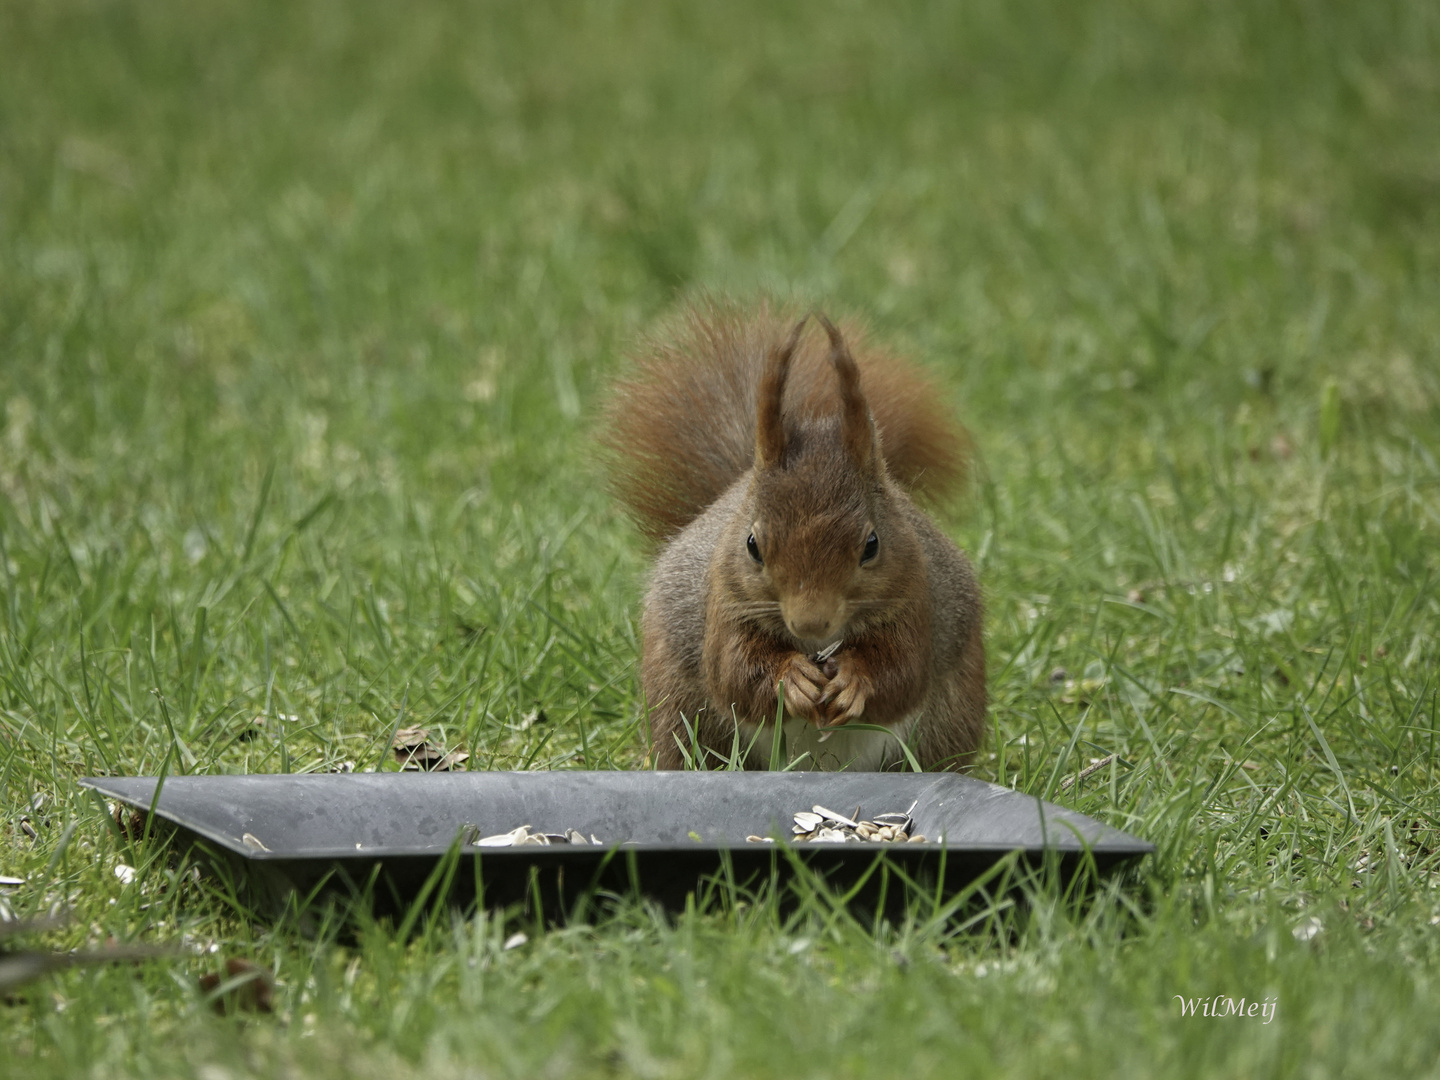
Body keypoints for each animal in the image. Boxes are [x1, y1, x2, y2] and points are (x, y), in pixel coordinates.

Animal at [601, 300, 984, 771]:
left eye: (872, 545)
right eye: (752, 546)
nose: (810, 621)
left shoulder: (915, 597)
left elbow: (904, 670)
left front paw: (855, 682)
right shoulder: (725, 603)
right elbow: (734, 670)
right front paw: (791, 681)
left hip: (947, 721)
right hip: (683, 712)